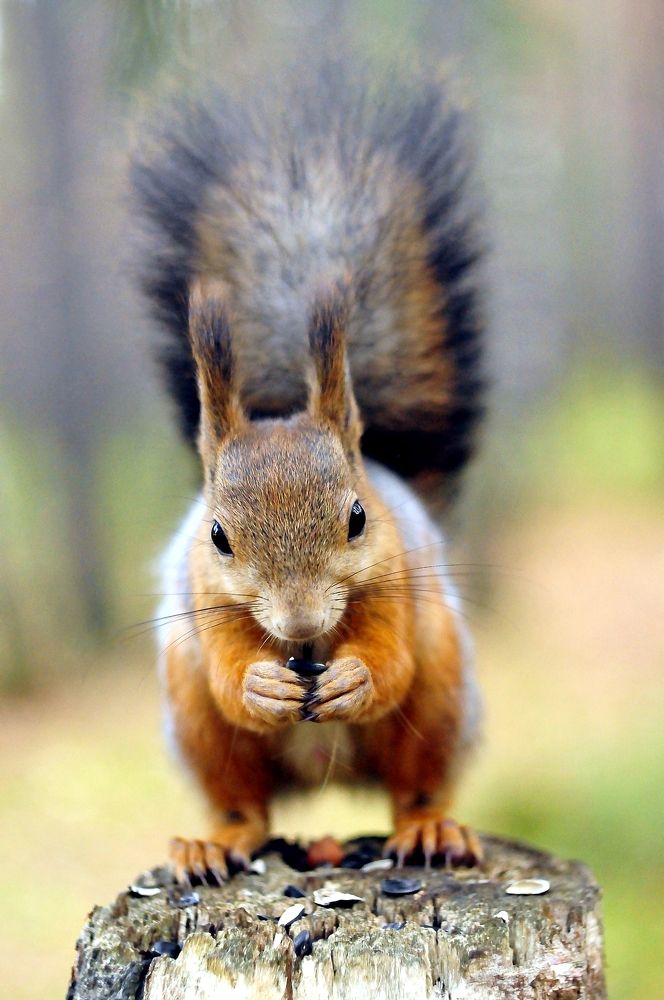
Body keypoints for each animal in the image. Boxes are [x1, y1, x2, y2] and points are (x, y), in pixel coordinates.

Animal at [131, 67, 485, 879]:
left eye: (358, 518)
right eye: (218, 536)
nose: (297, 624)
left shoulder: (396, 577)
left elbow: (389, 664)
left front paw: (357, 675)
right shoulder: (205, 598)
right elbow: (230, 679)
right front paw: (258, 680)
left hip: (444, 684)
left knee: (416, 780)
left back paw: (429, 828)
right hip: (191, 713)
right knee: (244, 802)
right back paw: (215, 841)